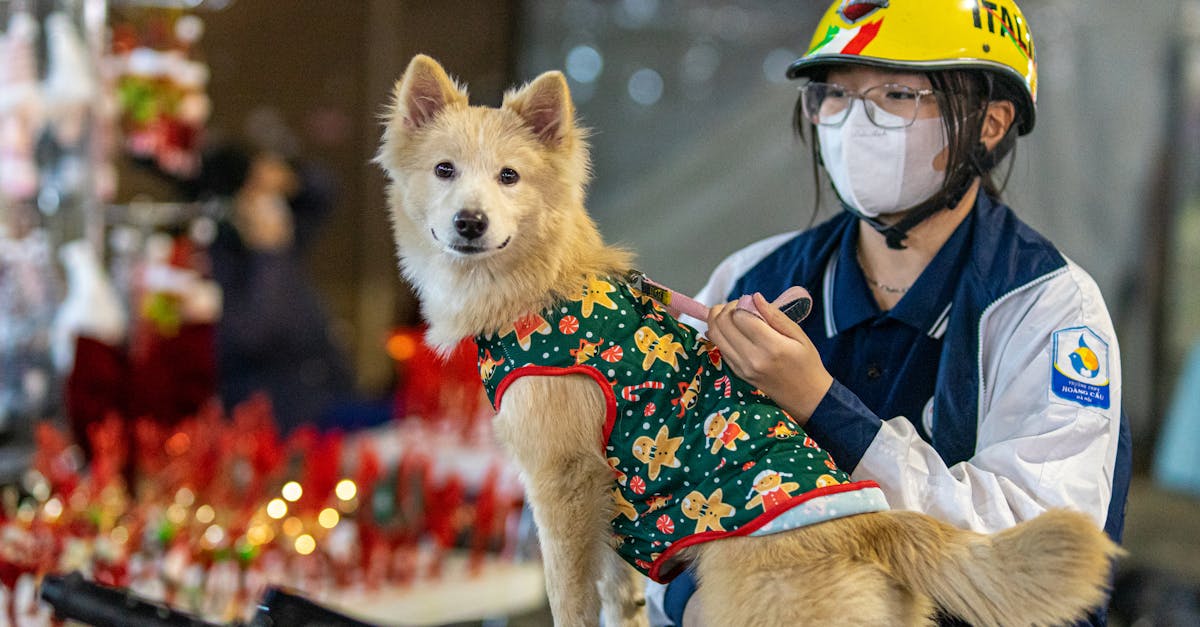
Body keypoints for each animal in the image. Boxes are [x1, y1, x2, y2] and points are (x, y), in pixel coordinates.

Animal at [376, 54, 1123, 624]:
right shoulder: (610, 503)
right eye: (444, 170)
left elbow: (570, 594)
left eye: (509, 176)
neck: (548, 280)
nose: (470, 222)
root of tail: (875, 524)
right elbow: (618, 591)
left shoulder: (563, 481)